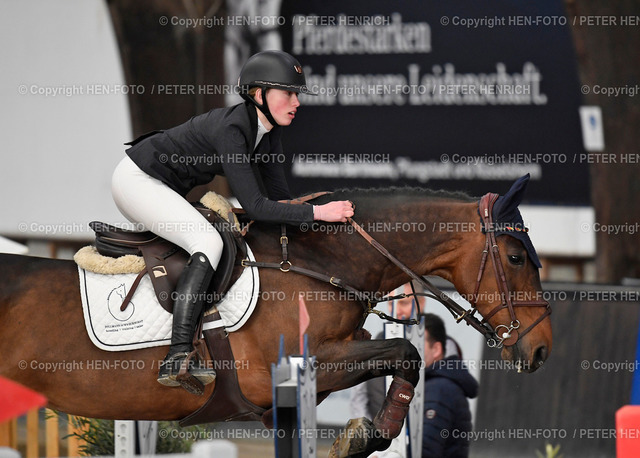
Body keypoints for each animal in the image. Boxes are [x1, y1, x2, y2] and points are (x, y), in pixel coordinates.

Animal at [0, 181, 552, 456]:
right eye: (516, 258)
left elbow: (393, 354)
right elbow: (406, 352)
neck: (321, 260)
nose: (542, 348)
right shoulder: (294, 366)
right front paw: (364, 438)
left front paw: (364, 434)